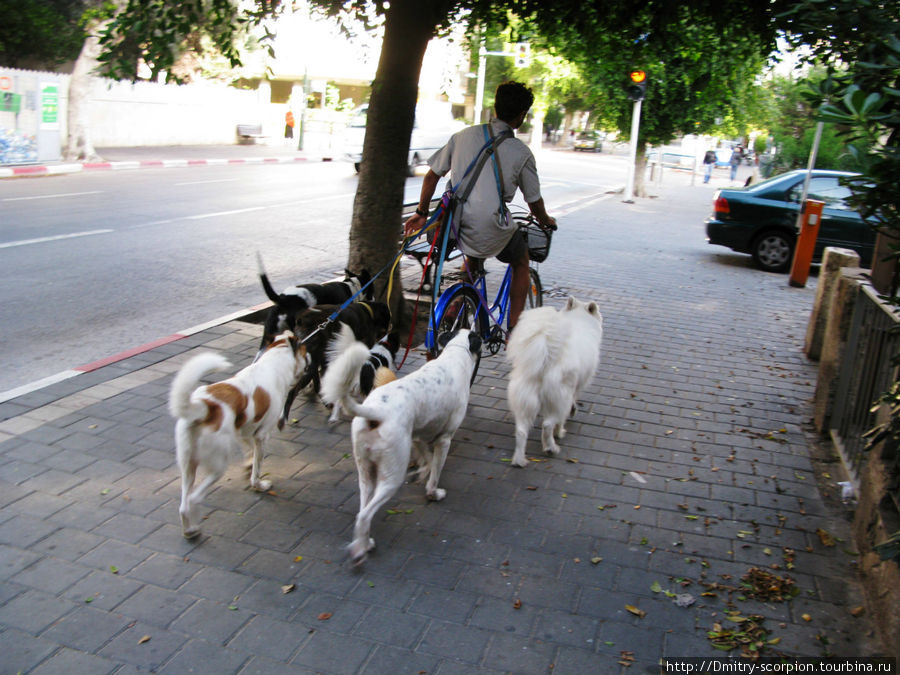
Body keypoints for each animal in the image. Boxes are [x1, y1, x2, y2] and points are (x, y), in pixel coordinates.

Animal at [169, 332, 310, 540]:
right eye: (305, 350)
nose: (311, 357)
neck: (273, 361)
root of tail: (204, 408)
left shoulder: (245, 430)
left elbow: (250, 450)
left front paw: (248, 464)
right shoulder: (262, 435)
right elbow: (257, 466)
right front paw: (258, 484)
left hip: (187, 465)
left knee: (183, 505)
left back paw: (190, 530)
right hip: (218, 465)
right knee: (194, 498)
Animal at [322, 328, 478, 564]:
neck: (456, 353)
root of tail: (376, 412)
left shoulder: (417, 435)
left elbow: (427, 460)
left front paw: (421, 472)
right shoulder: (444, 439)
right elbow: (435, 472)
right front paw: (433, 492)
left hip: (366, 472)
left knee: (362, 510)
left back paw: (363, 542)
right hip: (391, 477)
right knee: (366, 514)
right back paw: (360, 550)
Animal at [506, 298, 604, 468]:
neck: (580, 319)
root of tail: (546, 357)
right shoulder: (575, 388)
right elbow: (569, 408)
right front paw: (563, 426)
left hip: (524, 400)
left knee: (521, 431)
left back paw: (519, 460)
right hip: (558, 399)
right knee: (548, 424)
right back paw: (551, 447)